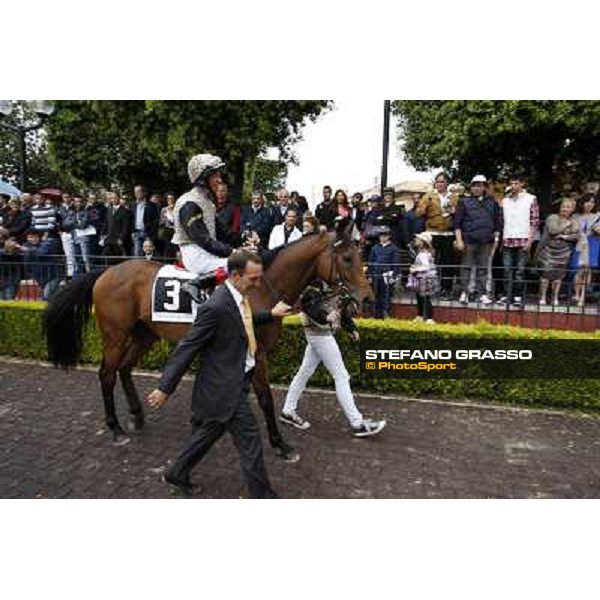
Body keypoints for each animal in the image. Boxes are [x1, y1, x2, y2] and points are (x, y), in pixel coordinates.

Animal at [43, 223, 370, 462]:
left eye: (361, 256)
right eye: (347, 258)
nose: (366, 298)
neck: (262, 287)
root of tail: (106, 271)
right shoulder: (257, 353)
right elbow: (264, 398)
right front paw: (280, 445)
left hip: (144, 333)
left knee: (124, 368)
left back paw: (136, 415)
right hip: (115, 334)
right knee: (107, 373)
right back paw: (116, 427)